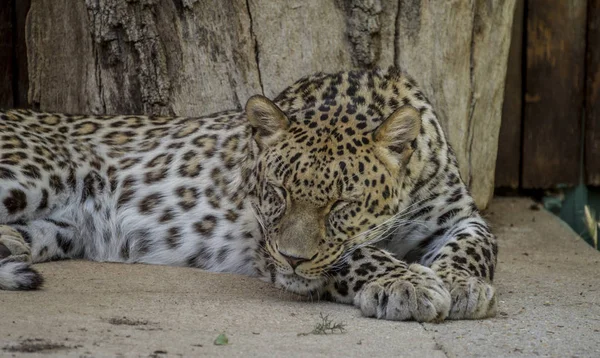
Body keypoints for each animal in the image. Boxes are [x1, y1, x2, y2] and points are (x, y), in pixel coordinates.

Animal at [0, 68, 496, 322]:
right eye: (277, 191)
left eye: (342, 204)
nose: (293, 260)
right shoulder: (264, 237)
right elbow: (356, 254)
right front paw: (408, 284)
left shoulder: (460, 215)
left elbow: (477, 244)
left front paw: (462, 284)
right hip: (36, 173)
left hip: (62, 229)